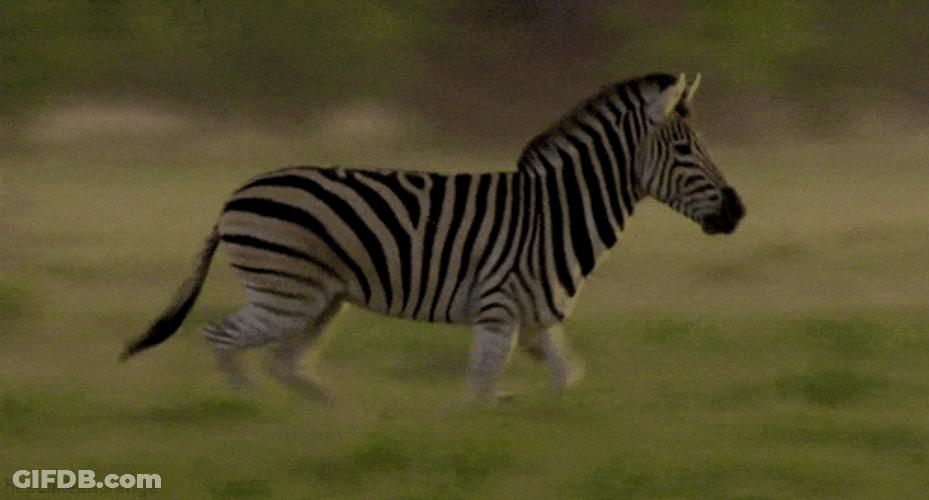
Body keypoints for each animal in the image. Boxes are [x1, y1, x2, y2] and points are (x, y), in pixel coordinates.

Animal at [121, 73, 745, 404]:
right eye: (685, 150)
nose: (737, 211)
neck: (555, 215)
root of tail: (234, 195)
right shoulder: (497, 312)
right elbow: (479, 387)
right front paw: (472, 431)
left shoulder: (539, 320)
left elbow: (568, 376)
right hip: (286, 294)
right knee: (222, 341)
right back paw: (258, 417)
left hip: (320, 300)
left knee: (285, 363)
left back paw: (344, 420)